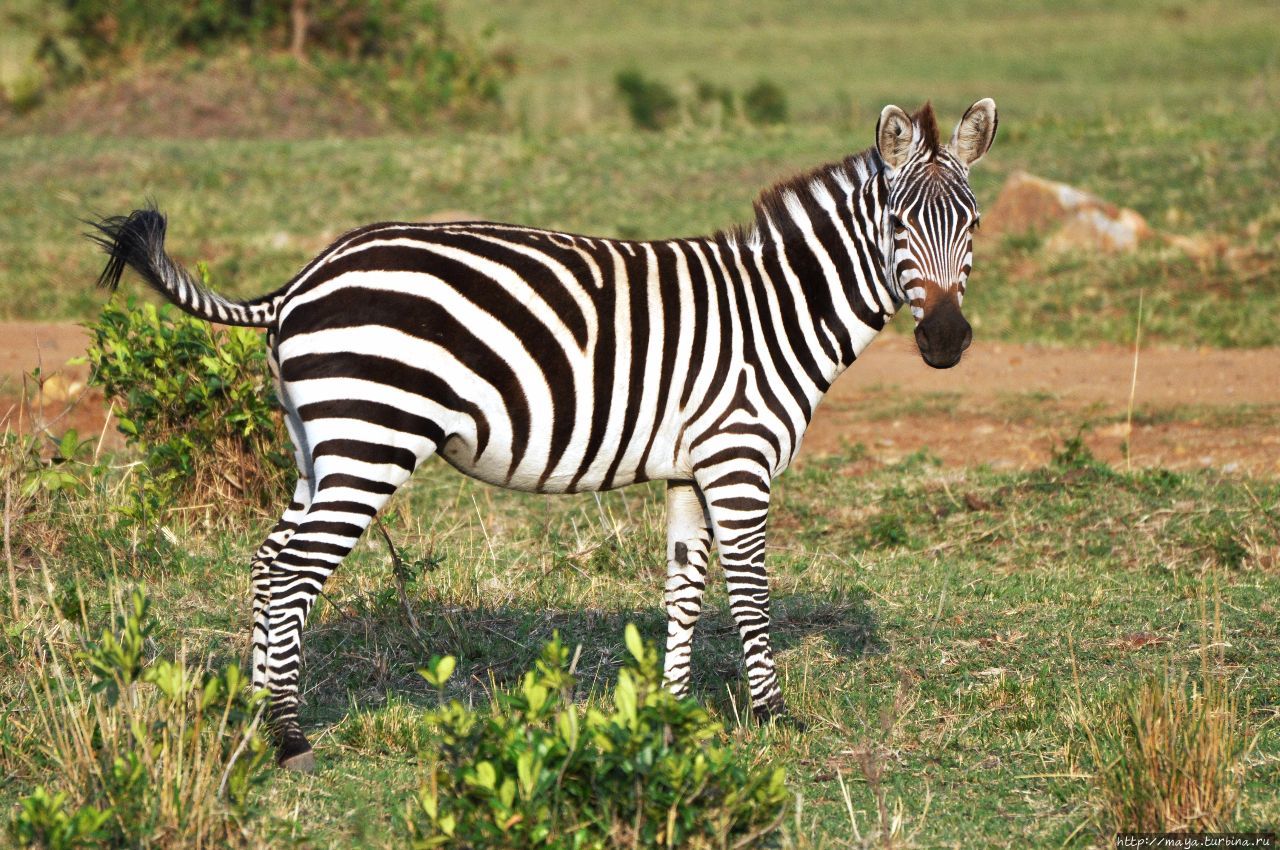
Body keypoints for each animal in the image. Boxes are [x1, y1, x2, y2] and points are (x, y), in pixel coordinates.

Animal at [90, 99, 998, 768]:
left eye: (975, 224)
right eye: (899, 225)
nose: (947, 342)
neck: (773, 311)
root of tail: (301, 280)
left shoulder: (690, 467)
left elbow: (683, 591)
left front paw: (669, 716)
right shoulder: (739, 459)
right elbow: (748, 590)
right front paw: (773, 716)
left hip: (319, 446)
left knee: (267, 557)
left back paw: (253, 718)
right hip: (371, 439)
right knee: (292, 571)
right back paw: (286, 735)